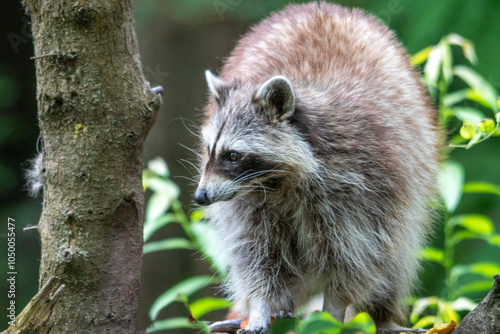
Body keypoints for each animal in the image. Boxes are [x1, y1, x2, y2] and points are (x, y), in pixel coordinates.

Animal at [193, 1, 440, 332]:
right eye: (209, 150)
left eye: (233, 155)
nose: (200, 197)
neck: (278, 183)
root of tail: (324, 7)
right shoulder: (247, 204)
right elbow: (255, 254)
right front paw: (260, 305)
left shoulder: (364, 180)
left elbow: (355, 256)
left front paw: (333, 310)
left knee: (394, 259)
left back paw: (383, 315)